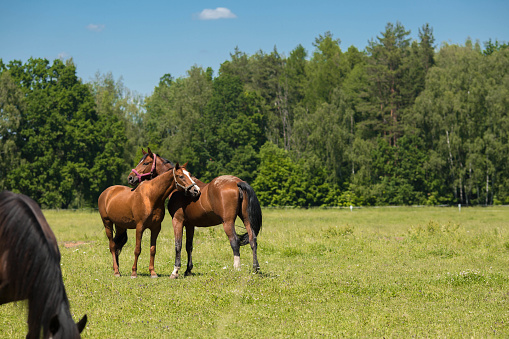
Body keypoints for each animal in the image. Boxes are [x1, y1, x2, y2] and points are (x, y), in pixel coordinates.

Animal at [127, 149, 262, 278]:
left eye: (145, 163)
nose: (131, 177)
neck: (179, 190)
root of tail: (237, 182)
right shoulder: (190, 224)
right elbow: (189, 246)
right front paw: (188, 270)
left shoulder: (177, 221)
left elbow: (178, 245)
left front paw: (175, 271)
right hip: (246, 219)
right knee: (253, 240)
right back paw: (256, 270)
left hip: (228, 222)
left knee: (234, 242)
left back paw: (237, 269)